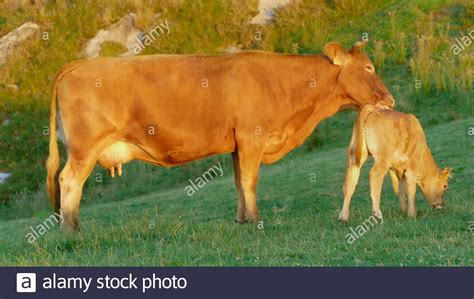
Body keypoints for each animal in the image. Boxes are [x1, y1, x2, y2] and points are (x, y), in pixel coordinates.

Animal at [47, 39, 396, 232]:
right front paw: (256, 219)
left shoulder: (237, 145)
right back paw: (70, 229)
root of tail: (78, 65)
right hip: (84, 148)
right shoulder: (253, 137)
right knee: (69, 182)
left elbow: (239, 182)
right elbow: (250, 181)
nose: (390, 101)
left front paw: (242, 219)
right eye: (368, 67)